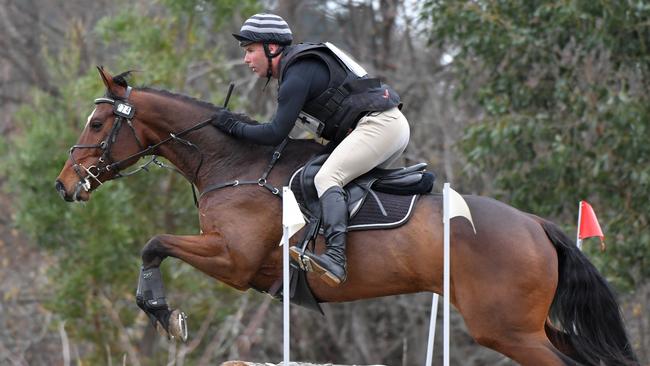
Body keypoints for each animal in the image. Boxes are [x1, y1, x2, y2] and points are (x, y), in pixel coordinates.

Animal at [53, 67, 636, 364]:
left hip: (507, 330)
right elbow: (155, 245)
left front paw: (160, 310)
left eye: (98, 123)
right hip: (528, 326)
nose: (63, 185)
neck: (235, 164)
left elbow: (153, 242)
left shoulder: (234, 261)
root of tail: (536, 224)